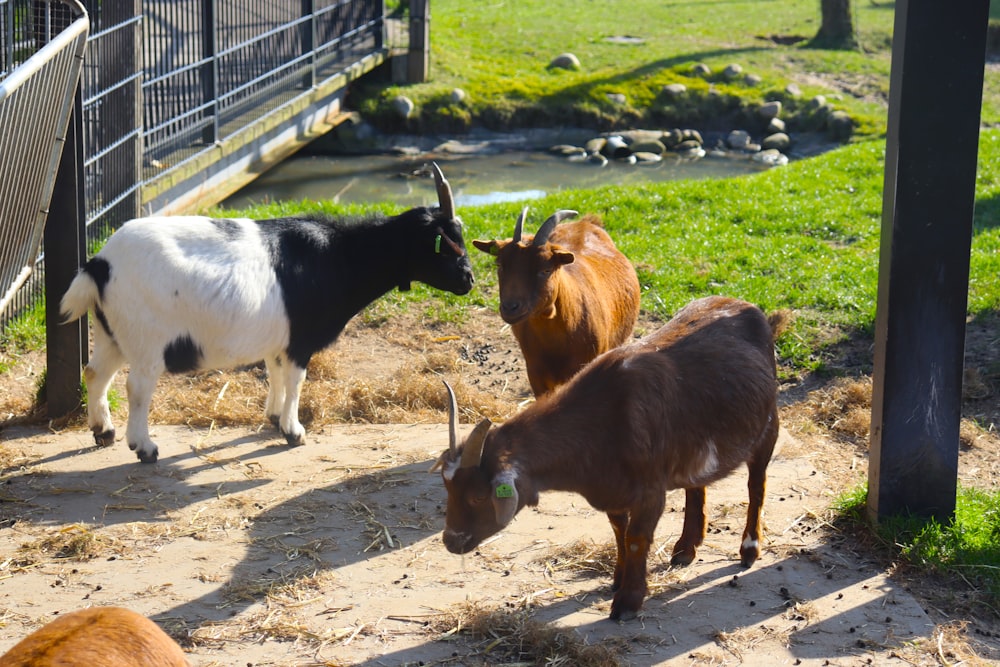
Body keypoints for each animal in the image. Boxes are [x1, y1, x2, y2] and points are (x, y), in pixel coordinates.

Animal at [62, 163, 476, 464]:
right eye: (448, 242)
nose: (469, 280)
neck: (340, 256)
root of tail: (100, 264)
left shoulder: (279, 339)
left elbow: (275, 374)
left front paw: (275, 418)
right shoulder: (300, 339)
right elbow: (296, 381)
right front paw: (294, 431)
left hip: (112, 332)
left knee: (95, 373)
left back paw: (103, 432)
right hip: (146, 339)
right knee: (137, 387)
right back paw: (144, 448)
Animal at [438, 298, 788, 620]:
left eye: (479, 496)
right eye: (448, 490)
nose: (451, 542)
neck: (601, 419)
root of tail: (752, 310)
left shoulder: (650, 492)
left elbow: (636, 538)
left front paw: (628, 602)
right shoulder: (613, 490)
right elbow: (619, 530)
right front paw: (618, 580)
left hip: (768, 427)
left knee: (756, 485)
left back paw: (749, 549)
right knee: (696, 486)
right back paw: (686, 548)